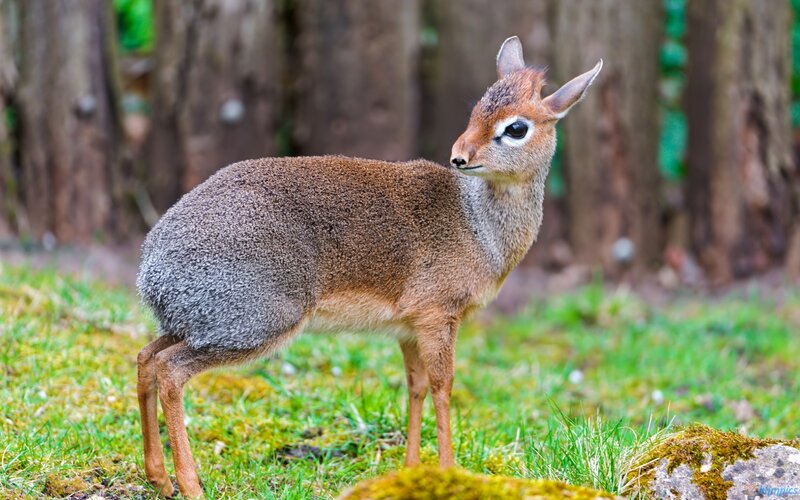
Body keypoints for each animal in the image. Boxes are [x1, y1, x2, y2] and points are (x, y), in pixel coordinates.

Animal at [136, 35, 602, 498]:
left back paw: (158, 476)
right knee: (171, 372)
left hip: (194, 324)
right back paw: (190, 484)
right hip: (252, 326)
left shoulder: (409, 328)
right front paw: (449, 472)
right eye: (477, 111)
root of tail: (151, 269)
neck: (478, 226)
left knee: (146, 358)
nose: (460, 156)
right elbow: (443, 387)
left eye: (516, 126)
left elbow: (415, 387)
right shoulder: (438, 316)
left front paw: (411, 471)